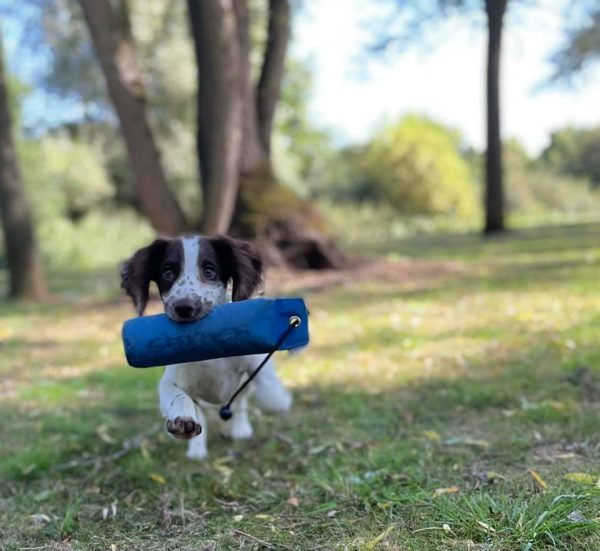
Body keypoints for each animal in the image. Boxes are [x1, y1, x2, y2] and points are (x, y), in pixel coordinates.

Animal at [120, 236, 292, 462]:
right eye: (167, 274)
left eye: (209, 271)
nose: (184, 308)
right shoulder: (172, 379)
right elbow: (178, 396)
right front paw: (182, 420)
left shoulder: (254, 361)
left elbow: (267, 384)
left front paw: (278, 399)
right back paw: (197, 449)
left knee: (240, 401)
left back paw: (241, 429)